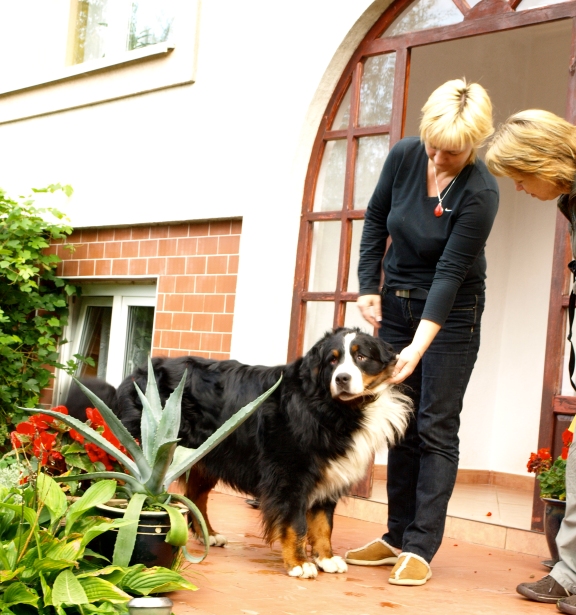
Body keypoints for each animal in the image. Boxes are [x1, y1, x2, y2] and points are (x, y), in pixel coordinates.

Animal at [110, 330, 412, 580]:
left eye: (361, 357)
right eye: (333, 361)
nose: (342, 379)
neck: (330, 406)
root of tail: (135, 374)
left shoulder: (329, 471)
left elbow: (324, 524)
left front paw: (326, 557)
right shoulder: (290, 473)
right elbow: (296, 523)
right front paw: (299, 563)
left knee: (196, 496)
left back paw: (211, 534)